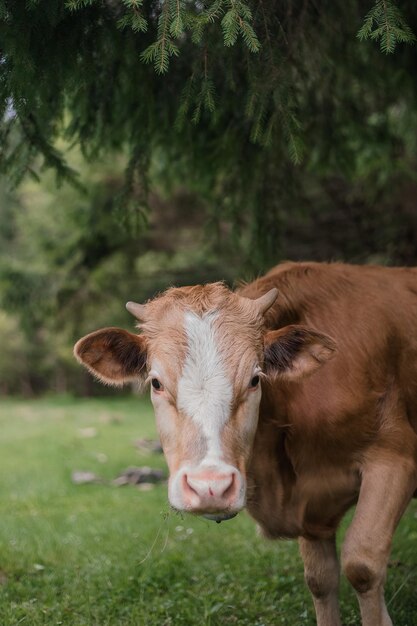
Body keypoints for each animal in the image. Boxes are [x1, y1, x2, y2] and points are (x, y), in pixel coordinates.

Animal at [73, 260, 416, 624]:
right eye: (156, 382)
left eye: (255, 379)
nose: (210, 487)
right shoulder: (313, 509)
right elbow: (321, 579)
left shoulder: (395, 459)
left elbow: (362, 566)